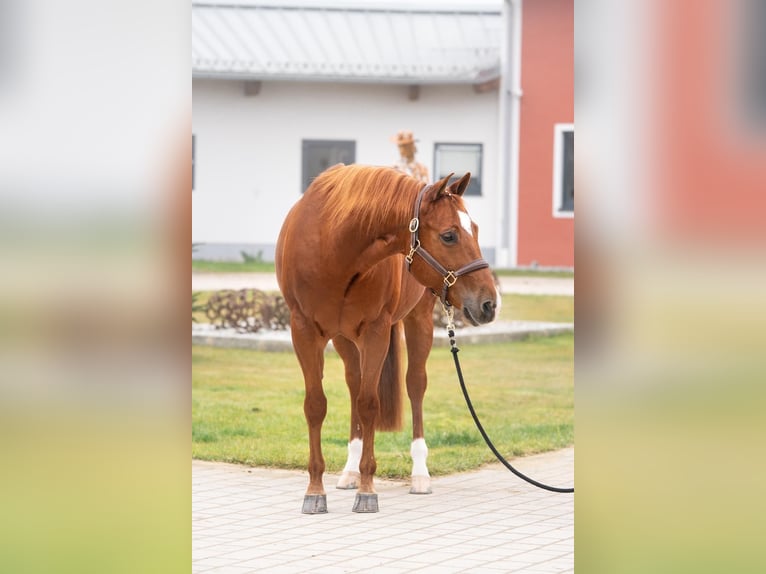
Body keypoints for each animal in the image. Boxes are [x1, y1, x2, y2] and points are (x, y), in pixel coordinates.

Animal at [275, 163, 498, 513]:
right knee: (354, 383)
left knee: (414, 385)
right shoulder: (303, 331)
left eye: (474, 229)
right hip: (344, 339)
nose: (489, 304)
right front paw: (315, 491)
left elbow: (369, 404)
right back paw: (349, 471)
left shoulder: (375, 330)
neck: (333, 249)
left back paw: (419, 475)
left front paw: (367, 491)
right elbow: (316, 404)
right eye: (449, 235)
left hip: (418, 320)